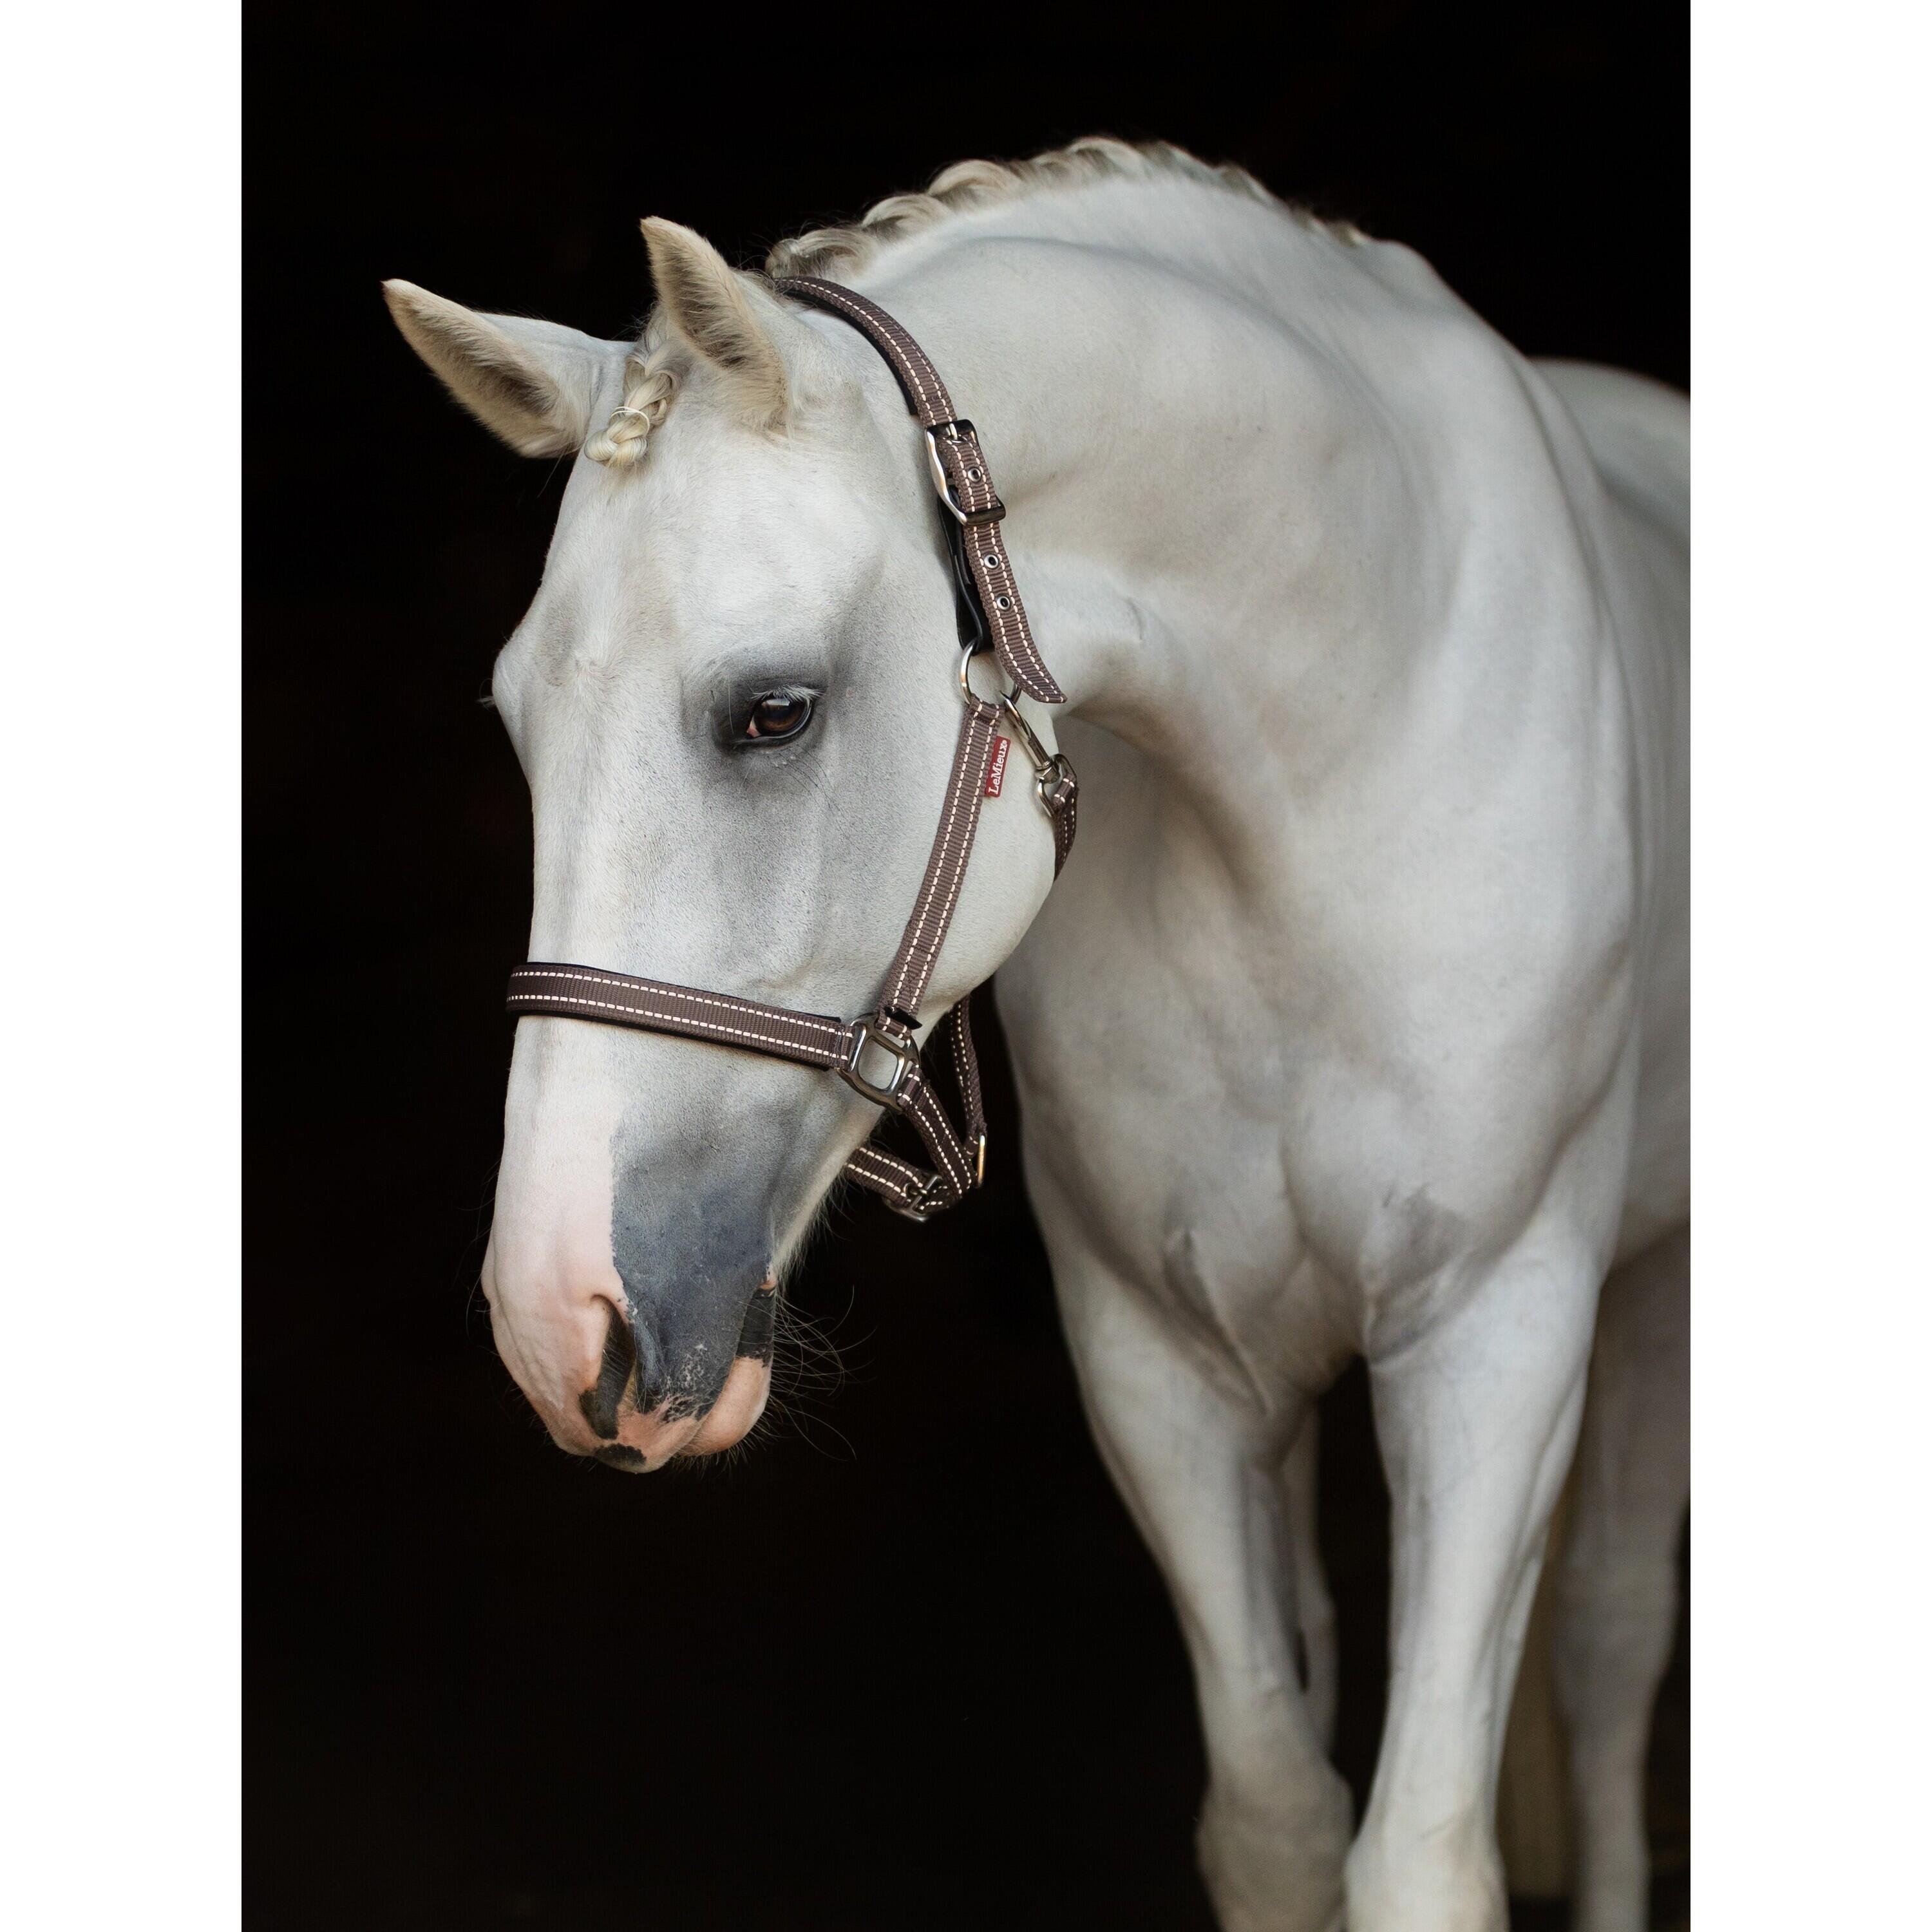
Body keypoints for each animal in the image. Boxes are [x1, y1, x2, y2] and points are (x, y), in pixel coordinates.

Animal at [384, 139, 1688, 1932]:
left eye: (772, 711)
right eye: (515, 722)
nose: (556, 1310)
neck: (1344, 743)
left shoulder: (1495, 1333)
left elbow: (1422, 1845)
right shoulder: (1163, 1363)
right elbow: (1279, 1817)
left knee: (1612, 1642)